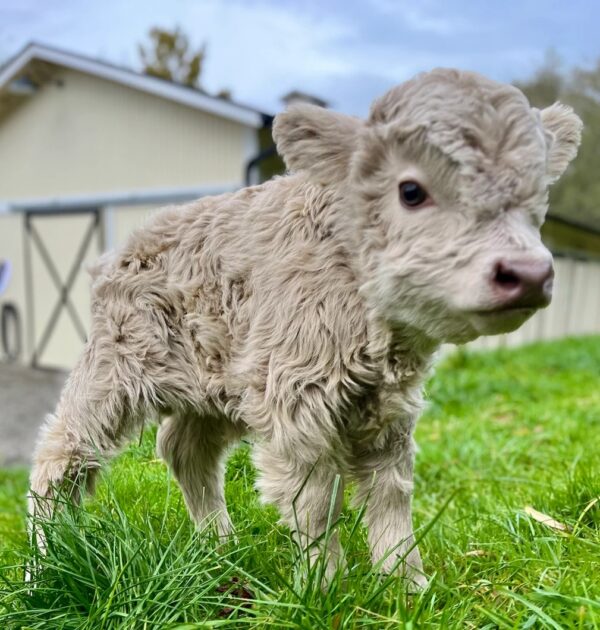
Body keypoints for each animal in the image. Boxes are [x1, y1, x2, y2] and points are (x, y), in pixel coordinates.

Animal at [29, 70, 580, 592]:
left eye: (536, 200)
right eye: (411, 191)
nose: (528, 273)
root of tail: (125, 246)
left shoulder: (388, 409)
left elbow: (391, 494)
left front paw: (408, 586)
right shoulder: (296, 401)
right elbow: (314, 499)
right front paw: (324, 588)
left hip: (220, 381)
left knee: (186, 449)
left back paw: (219, 548)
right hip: (118, 364)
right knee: (59, 453)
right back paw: (46, 566)